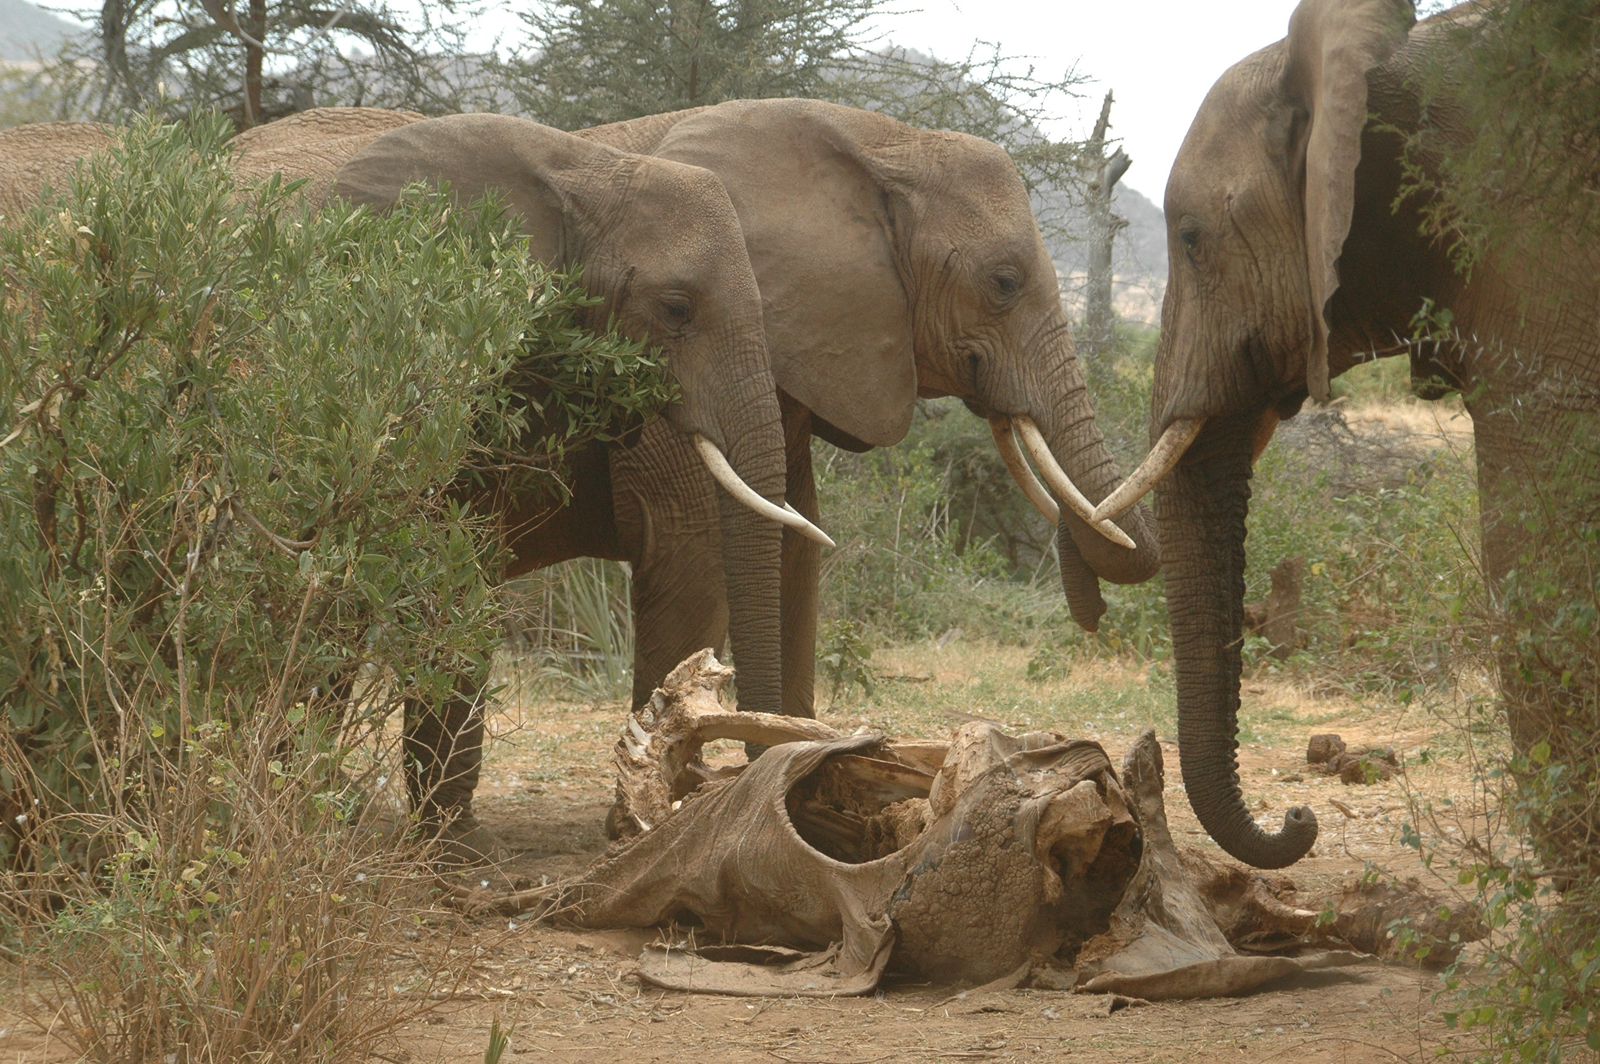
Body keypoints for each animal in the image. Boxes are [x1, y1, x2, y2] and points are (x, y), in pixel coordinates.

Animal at [1, 110, 822, 862]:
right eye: (676, 309)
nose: (773, 779)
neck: (586, 174)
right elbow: (441, 553)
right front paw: (454, 850)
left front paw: (447, 838)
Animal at [576, 99, 1163, 717]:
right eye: (1004, 282)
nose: (1096, 615)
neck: (884, 142)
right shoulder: (669, 351)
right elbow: (691, 551)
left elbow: (796, 535)